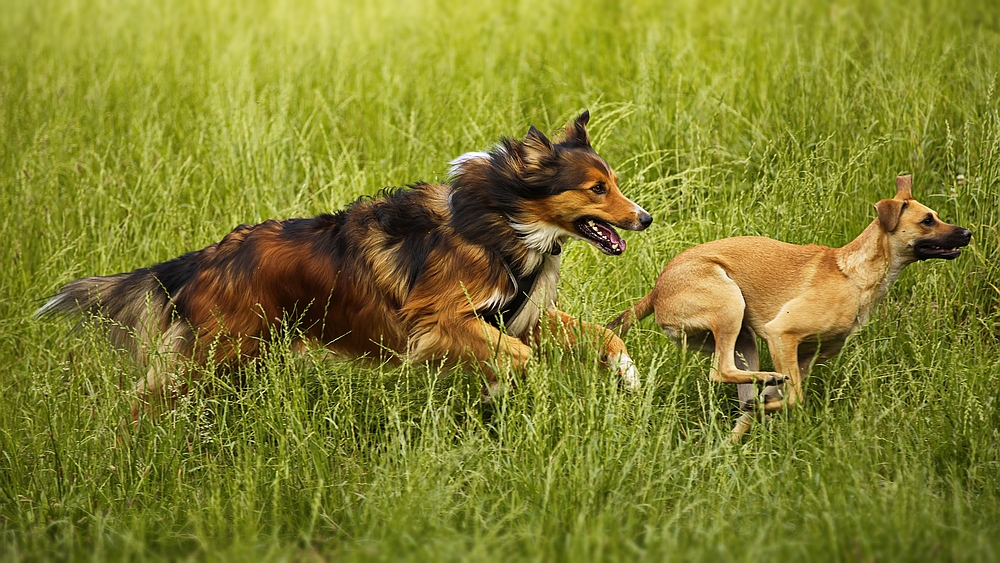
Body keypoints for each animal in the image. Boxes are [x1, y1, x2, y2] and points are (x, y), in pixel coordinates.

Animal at [39, 111, 652, 414]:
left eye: (614, 182)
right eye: (597, 189)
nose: (644, 218)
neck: (502, 217)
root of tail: (200, 261)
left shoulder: (517, 314)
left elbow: (604, 336)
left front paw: (631, 380)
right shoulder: (441, 321)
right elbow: (521, 359)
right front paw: (505, 391)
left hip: (238, 359)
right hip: (217, 356)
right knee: (141, 400)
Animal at [604, 174, 972, 438]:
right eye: (927, 221)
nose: (967, 233)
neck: (853, 272)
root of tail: (656, 290)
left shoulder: (804, 357)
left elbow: (782, 398)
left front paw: (763, 408)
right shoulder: (782, 335)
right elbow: (794, 398)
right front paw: (771, 404)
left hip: (743, 339)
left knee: (742, 395)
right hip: (730, 306)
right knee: (721, 372)